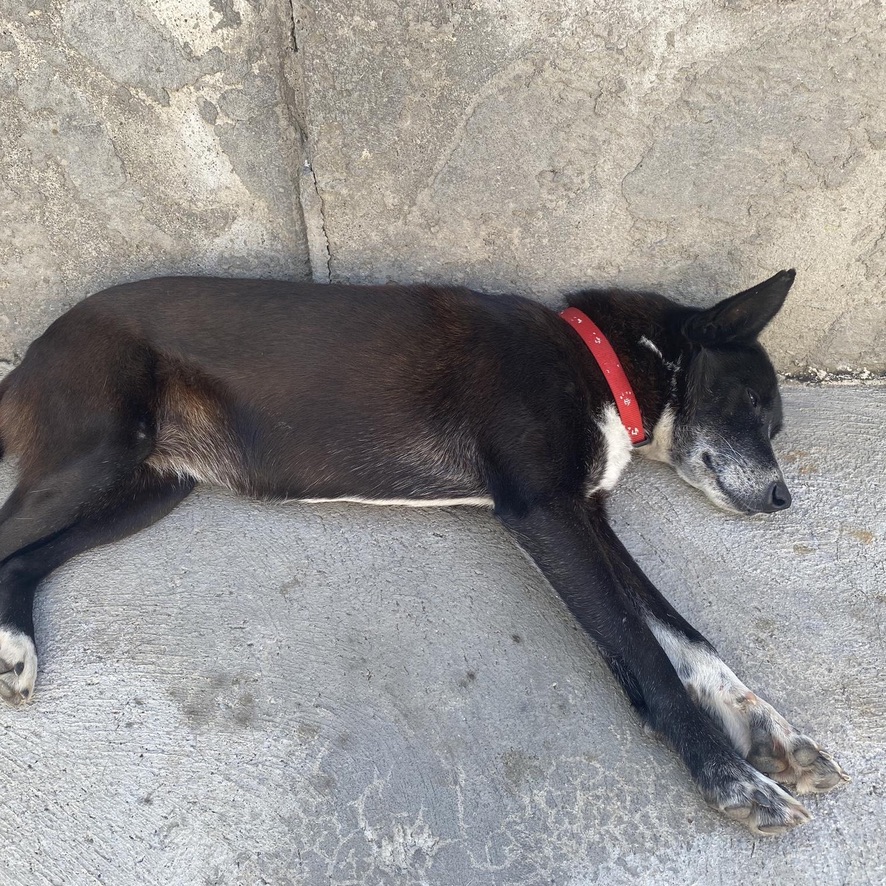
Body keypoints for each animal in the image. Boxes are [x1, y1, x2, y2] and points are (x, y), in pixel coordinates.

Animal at [0, 268, 848, 832]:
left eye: (773, 423)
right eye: (752, 407)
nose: (783, 499)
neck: (598, 362)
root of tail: (36, 347)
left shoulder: (587, 518)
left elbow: (685, 638)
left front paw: (770, 731)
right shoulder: (546, 513)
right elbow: (647, 656)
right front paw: (730, 779)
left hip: (151, 488)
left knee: (20, 559)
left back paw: (15, 649)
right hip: (99, 455)